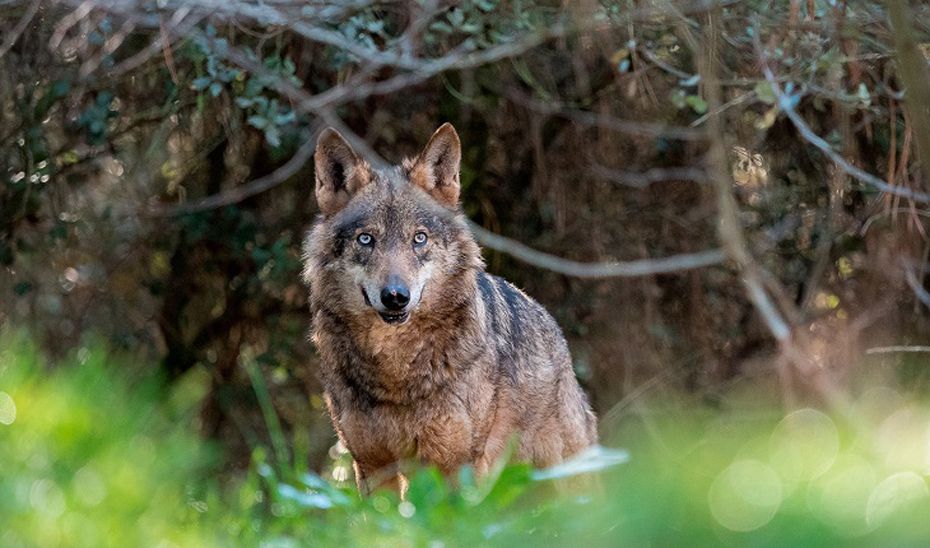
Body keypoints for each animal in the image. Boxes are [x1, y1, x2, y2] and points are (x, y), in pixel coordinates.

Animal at [302, 123, 597, 493]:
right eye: (366, 239)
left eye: (419, 238)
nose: (395, 296)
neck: (395, 372)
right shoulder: (372, 466)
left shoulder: (457, 463)